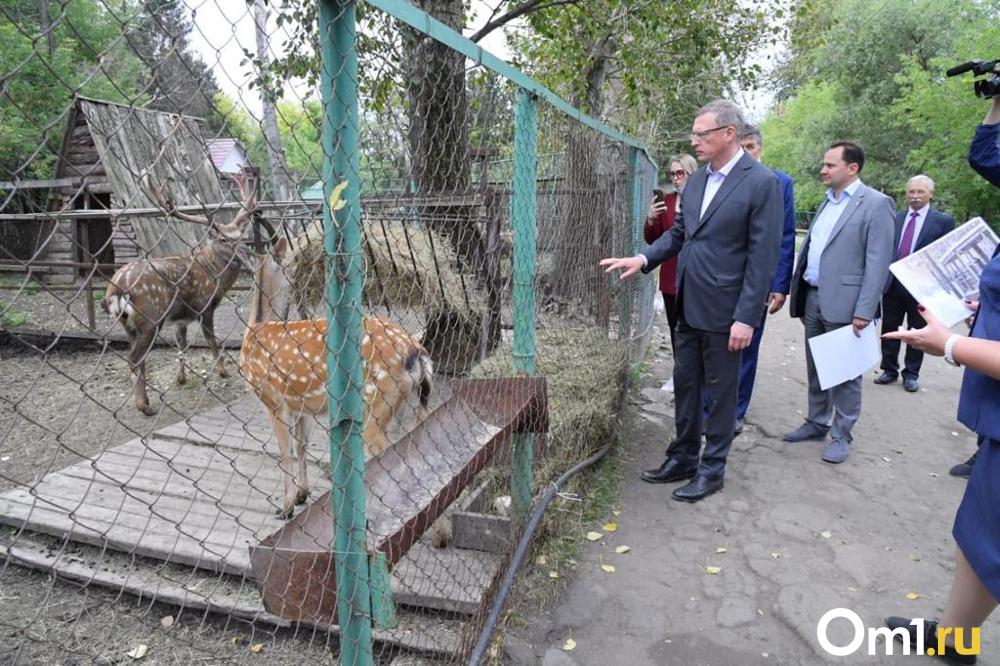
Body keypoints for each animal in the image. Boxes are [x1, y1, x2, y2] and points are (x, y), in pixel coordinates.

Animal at [100, 174, 258, 412]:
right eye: (222, 239)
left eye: (242, 236)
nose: (247, 257)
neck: (213, 274)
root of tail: (118, 287)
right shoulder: (205, 306)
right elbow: (212, 340)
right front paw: (223, 371)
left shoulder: (180, 319)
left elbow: (181, 345)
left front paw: (181, 379)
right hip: (151, 316)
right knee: (135, 358)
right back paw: (144, 406)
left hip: (126, 323)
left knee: (137, 357)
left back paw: (144, 401)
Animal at [241, 233, 434, 520]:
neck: (255, 327)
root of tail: (416, 353)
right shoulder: (301, 406)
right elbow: (301, 446)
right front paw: (302, 494)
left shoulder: (272, 399)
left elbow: (285, 452)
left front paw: (285, 508)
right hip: (408, 406)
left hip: (377, 403)